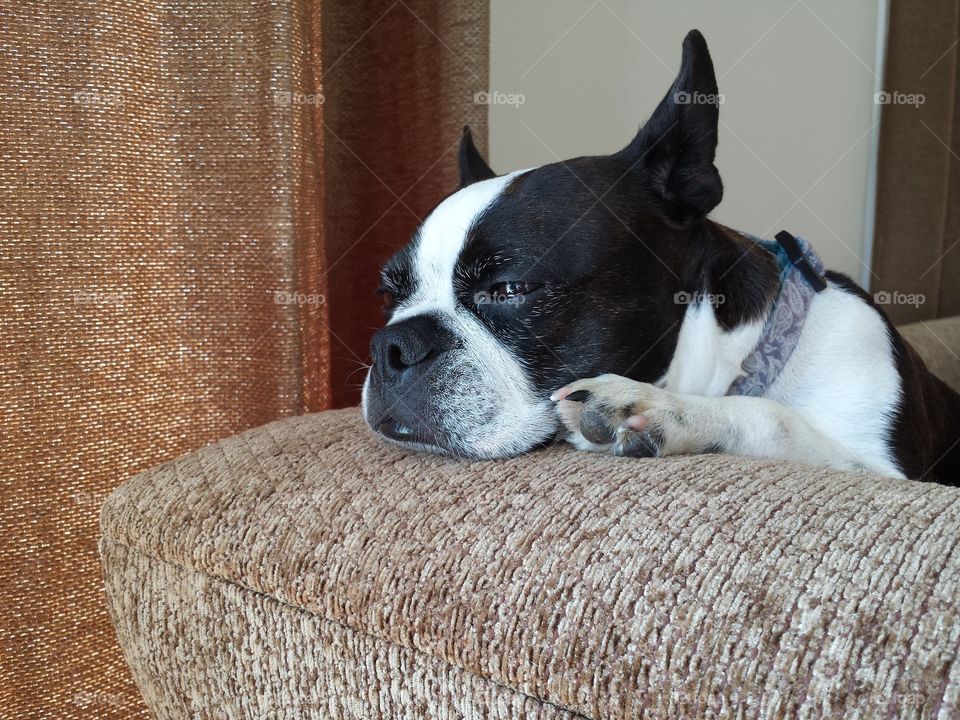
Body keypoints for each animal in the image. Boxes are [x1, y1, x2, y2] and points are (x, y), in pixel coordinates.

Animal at [362, 31, 960, 486]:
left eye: (510, 289)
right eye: (390, 294)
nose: (392, 345)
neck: (755, 351)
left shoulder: (885, 470)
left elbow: (777, 419)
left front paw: (666, 410)